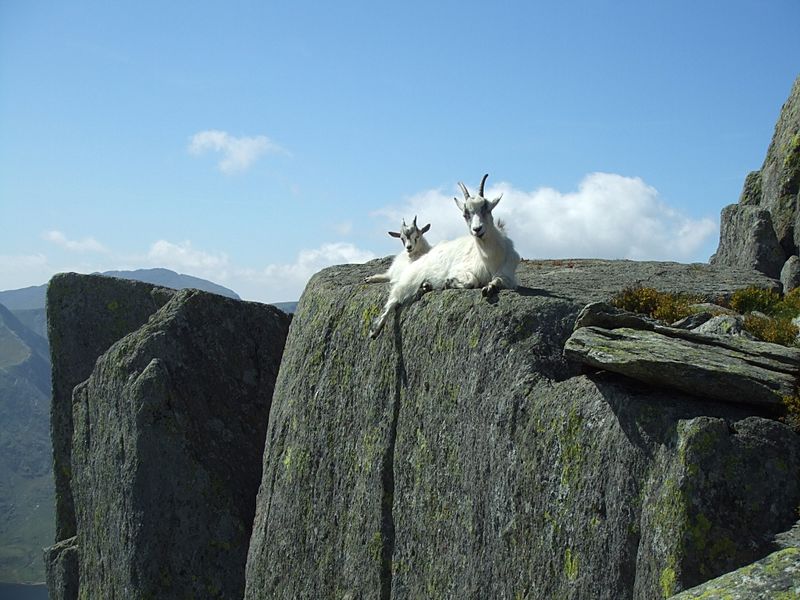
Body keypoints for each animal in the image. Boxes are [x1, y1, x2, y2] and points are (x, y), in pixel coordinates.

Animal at [369, 174, 520, 338]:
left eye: (487, 209)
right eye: (465, 214)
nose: (477, 229)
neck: (490, 260)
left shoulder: (509, 275)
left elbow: (499, 281)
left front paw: (489, 288)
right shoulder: (460, 270)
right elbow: (471, 281)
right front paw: (449, 282)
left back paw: (426, 286)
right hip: (409, 279)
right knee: (393, 300)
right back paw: (374, 330)